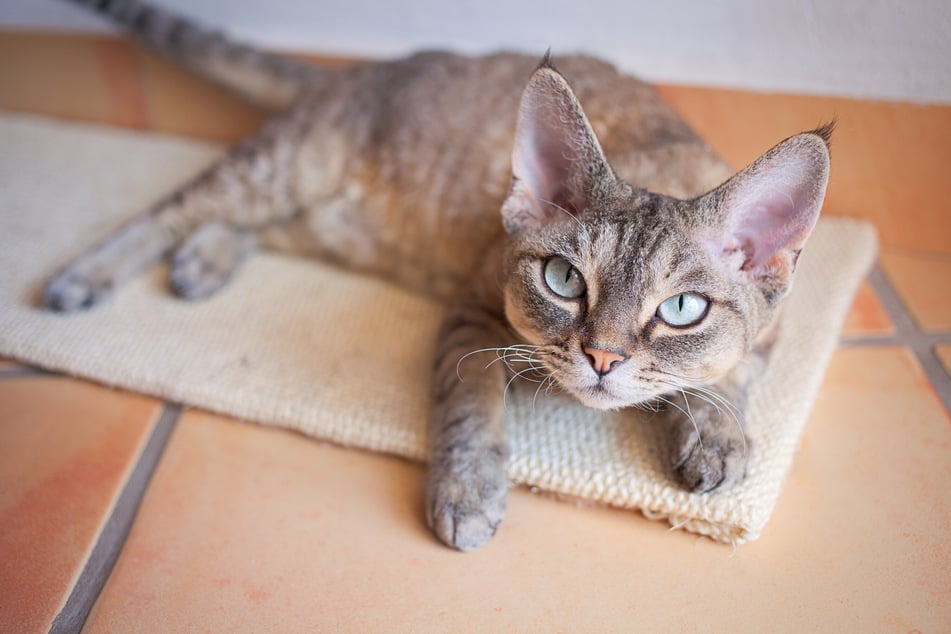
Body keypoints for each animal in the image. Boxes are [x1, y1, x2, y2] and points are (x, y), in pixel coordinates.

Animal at [48, 0, 828, 548]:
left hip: (333, 224)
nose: (602, 357)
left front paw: (717, 436)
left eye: (682, 310)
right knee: (174, 209)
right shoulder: (470, 314)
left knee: (250, 226)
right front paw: (468, 491)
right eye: (564, 280)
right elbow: (469, 404)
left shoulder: (771, 333)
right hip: (287, 167)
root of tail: (359, 69)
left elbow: (730, 373)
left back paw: (202, 261)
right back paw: (86, 275)